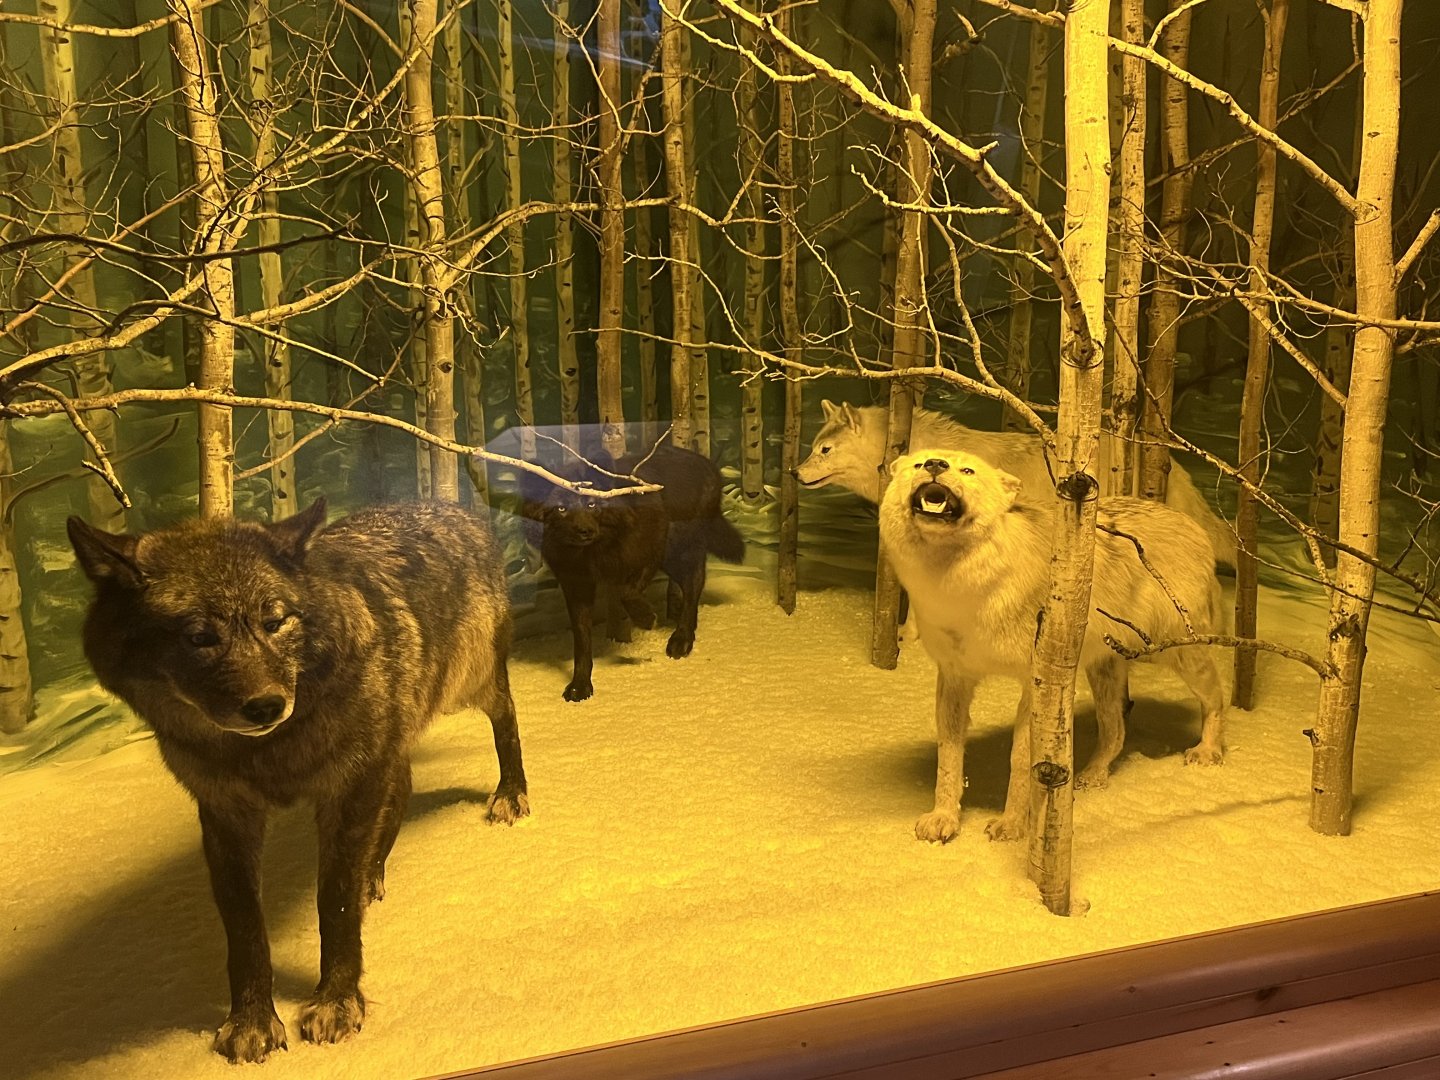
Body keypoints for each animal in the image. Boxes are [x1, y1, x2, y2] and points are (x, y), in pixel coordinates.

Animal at [67, 499, 529, 1064]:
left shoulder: (348, 786)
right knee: (401, 788)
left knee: (507, 717)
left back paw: (511, 795)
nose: (266, 705)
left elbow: (335, 902)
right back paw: (374, 872)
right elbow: (245, 929)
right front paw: (251, 1022)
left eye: (274, 621)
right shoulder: (226, 813)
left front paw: (336, 1002)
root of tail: (452, 506)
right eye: (199, 637)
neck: (265, 752)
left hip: (470, 683)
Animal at [527, 443, 744, 701]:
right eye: (561, 508)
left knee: (694, 582)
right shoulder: (576, 586)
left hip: (675, 550)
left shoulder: (649, 552)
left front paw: (646, 618)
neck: (594, 552)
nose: (584, 531)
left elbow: (626, 592)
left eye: (592, 504)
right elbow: (582, 640)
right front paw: (580, 685)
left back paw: (682, 638)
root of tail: (708, 464)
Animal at [879, 449, 1226, 844]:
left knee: (1217, 696)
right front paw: (943, 820)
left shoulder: (1035, 682)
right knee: (1116, 731)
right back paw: (1091, 777)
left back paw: (1208, 751)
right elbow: (949, 758)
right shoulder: (954, 677)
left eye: (967, 470)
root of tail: (1193, 528)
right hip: (1103, 669)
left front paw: (1011, 826)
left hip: (1176, 654)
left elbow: (1021, 760)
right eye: (918, 464)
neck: (958, 589)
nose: (935, 464)